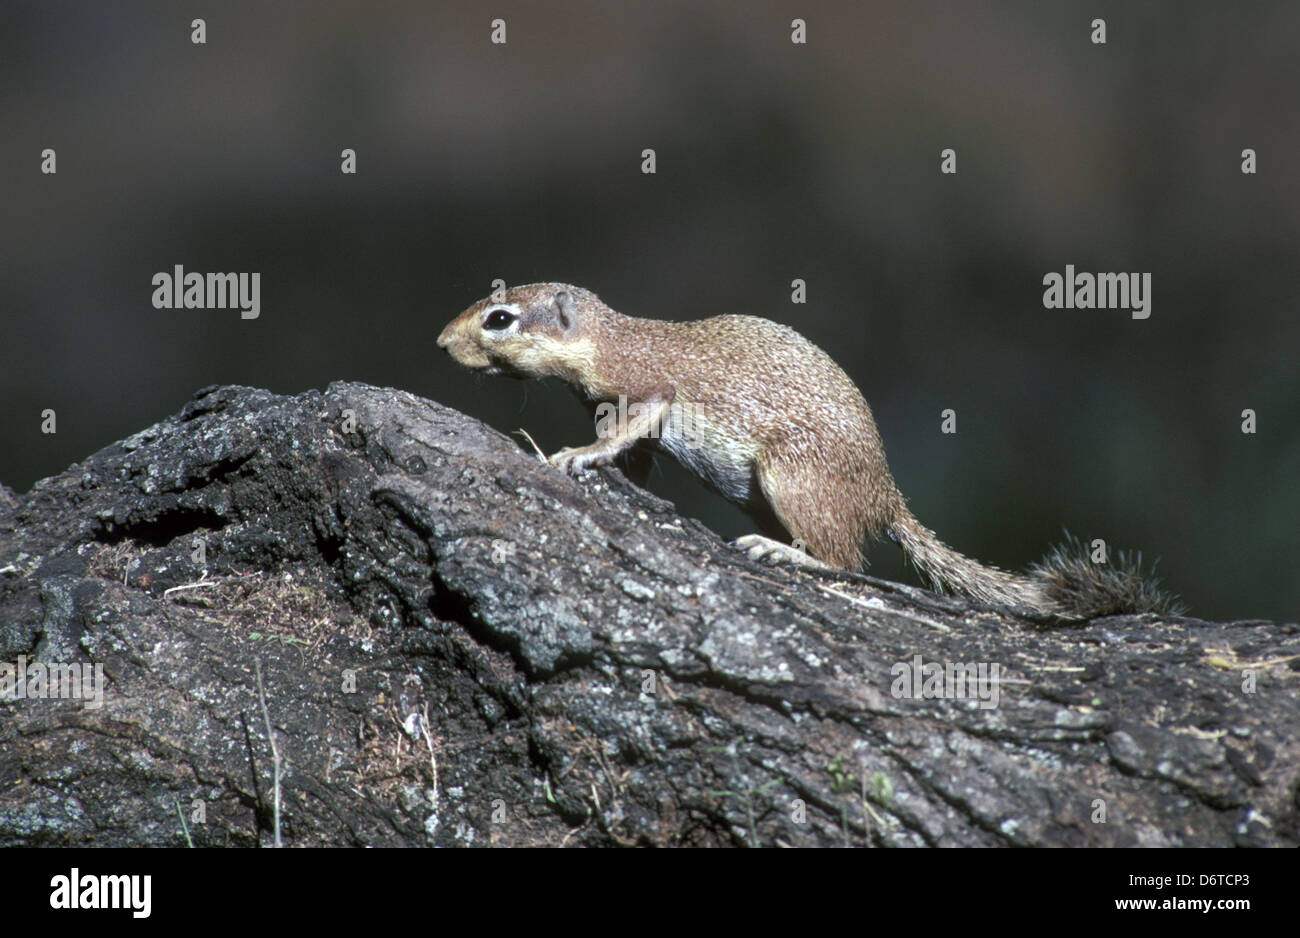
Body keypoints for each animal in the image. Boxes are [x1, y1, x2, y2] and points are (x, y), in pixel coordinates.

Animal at [436, 281, 1180, 618]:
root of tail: (886, 498)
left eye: (499, 319)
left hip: (793, 479)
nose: (440, 343)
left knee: (846, 561)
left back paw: (783, 553)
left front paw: (570, 457)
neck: (608, 337)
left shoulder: (646, 392)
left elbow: (623, 434)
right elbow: (636, 460)